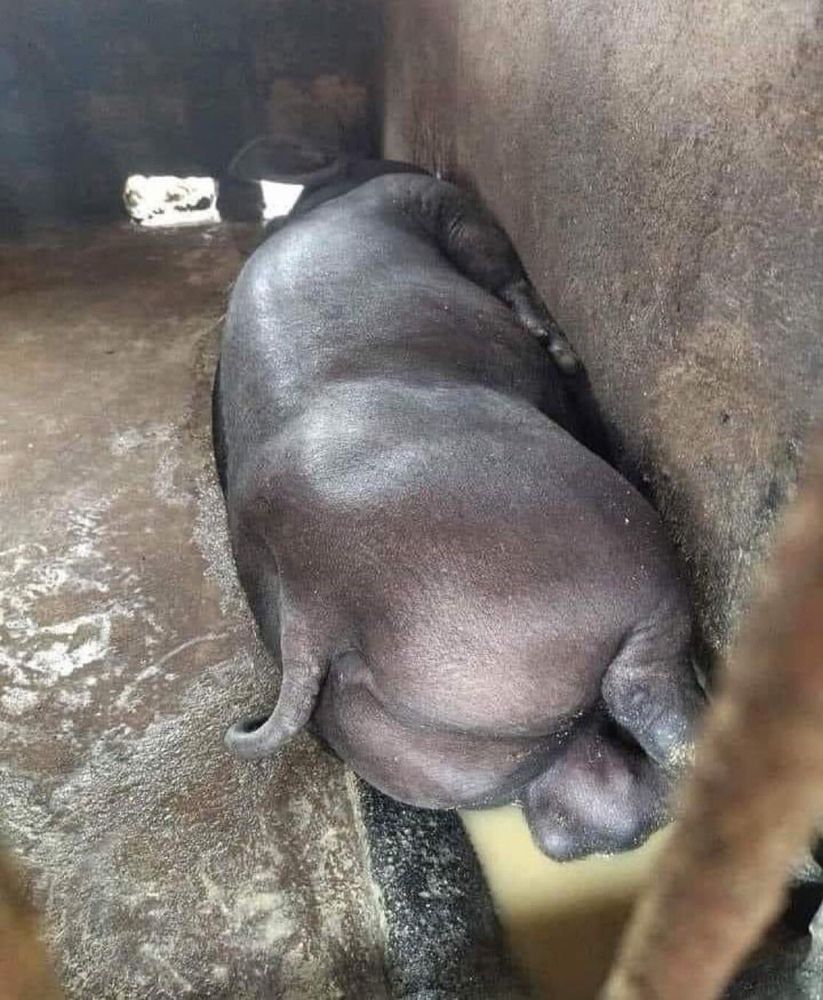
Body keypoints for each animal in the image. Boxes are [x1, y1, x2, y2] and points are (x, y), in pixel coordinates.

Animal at [213, 136, 704, 860]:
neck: (329, 197)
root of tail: (314, 608)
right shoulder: (443, 205)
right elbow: (499, 263)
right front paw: (559, 350)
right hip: (623, 567)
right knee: (656, 705)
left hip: (459, 753)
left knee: (587, 815)